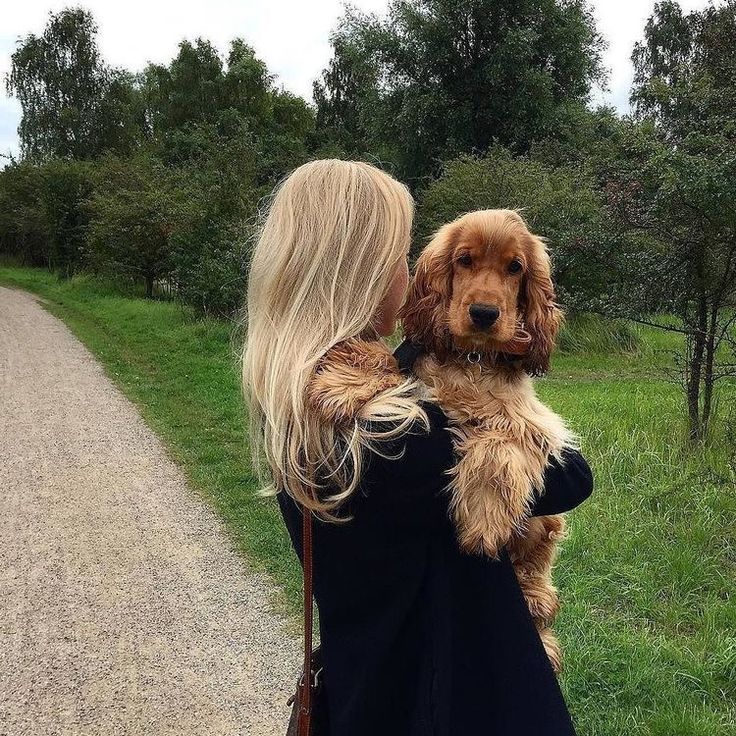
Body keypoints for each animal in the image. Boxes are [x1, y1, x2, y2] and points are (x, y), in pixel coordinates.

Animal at [400, 208, 576, 672]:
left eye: (515, 267)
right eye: (464, 260)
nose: (483, 313)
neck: (475, 359)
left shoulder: (535, 424)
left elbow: (496, 446)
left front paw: (481, 523)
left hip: (544, 528)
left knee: (537, 567)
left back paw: (536, 606)